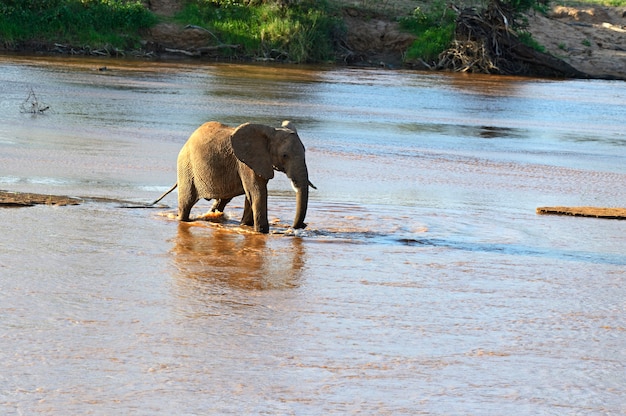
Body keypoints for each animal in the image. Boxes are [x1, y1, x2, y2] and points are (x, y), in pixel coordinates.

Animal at [151, 119, 314, 234]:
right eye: (285, 156)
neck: (271, 131)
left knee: (222, 201)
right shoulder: (246, 163)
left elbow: (251, 195)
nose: (301, 226)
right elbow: (257, 193)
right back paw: (184, 219)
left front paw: (246, 225)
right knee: (186, 202)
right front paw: (262, 232)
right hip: (186, 167)